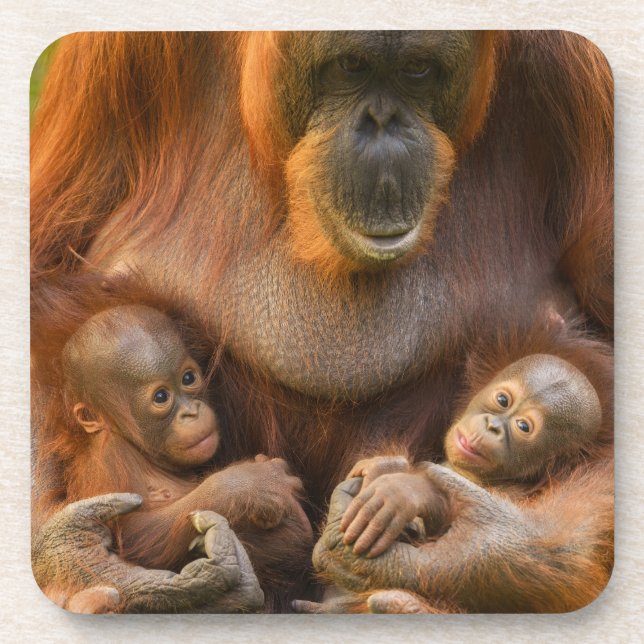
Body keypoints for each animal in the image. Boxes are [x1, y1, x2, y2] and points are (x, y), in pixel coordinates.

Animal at [340, 354, 602, 558]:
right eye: (503, 400)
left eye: (524, 427)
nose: (492, 426)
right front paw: (382, 466)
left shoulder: (517, 492)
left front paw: (404, 492)